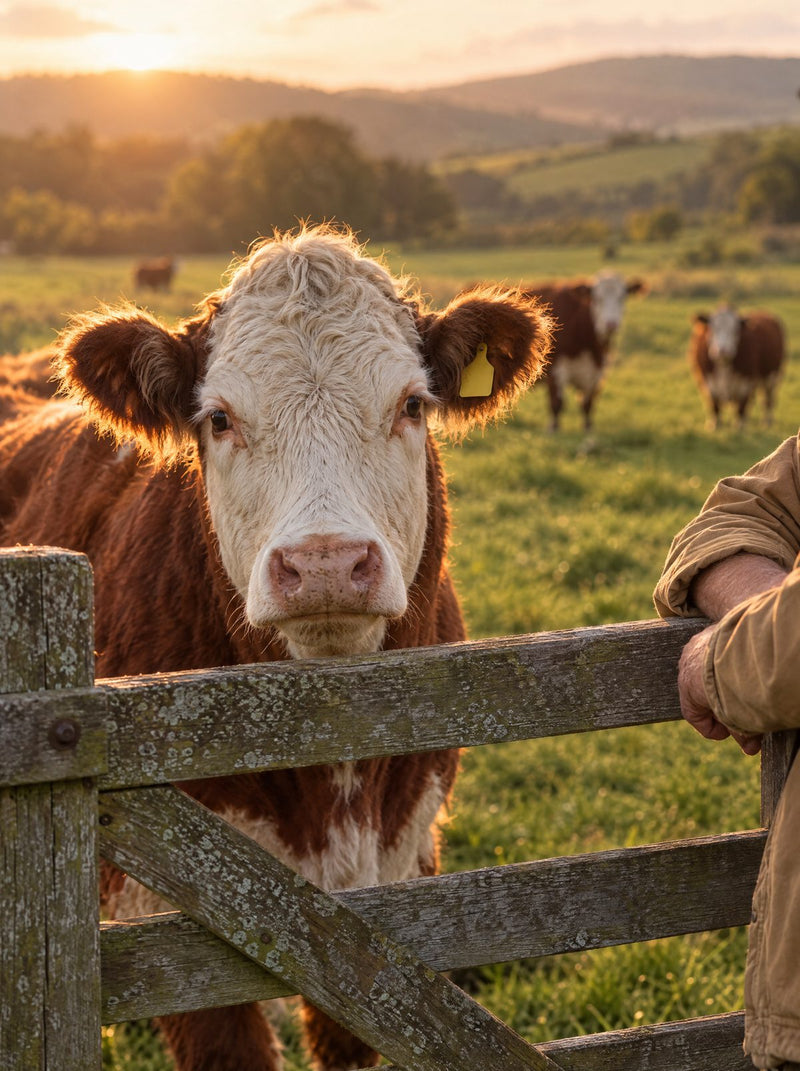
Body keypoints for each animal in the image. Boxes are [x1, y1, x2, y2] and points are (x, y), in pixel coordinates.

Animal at [524, 272, 644, 431]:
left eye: (622, 297)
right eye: (597, 298)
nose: (611, 324)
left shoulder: (596, 372)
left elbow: (588, 404)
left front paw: (588, 428)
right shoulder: (555, 370)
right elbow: (557, 403)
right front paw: (553, 428)